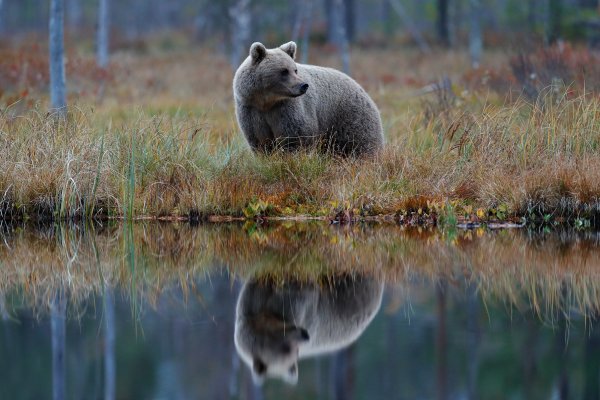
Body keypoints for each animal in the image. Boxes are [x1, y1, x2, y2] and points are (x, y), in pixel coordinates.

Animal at [232, 41, 382, 157]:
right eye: (284, 71)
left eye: (295, 69)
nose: (303, 86)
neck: (267, 101)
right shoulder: (251, 110)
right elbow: (260, 141)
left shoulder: (287, 109)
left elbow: (297, 137)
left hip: (349, 117)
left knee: (360, 143)